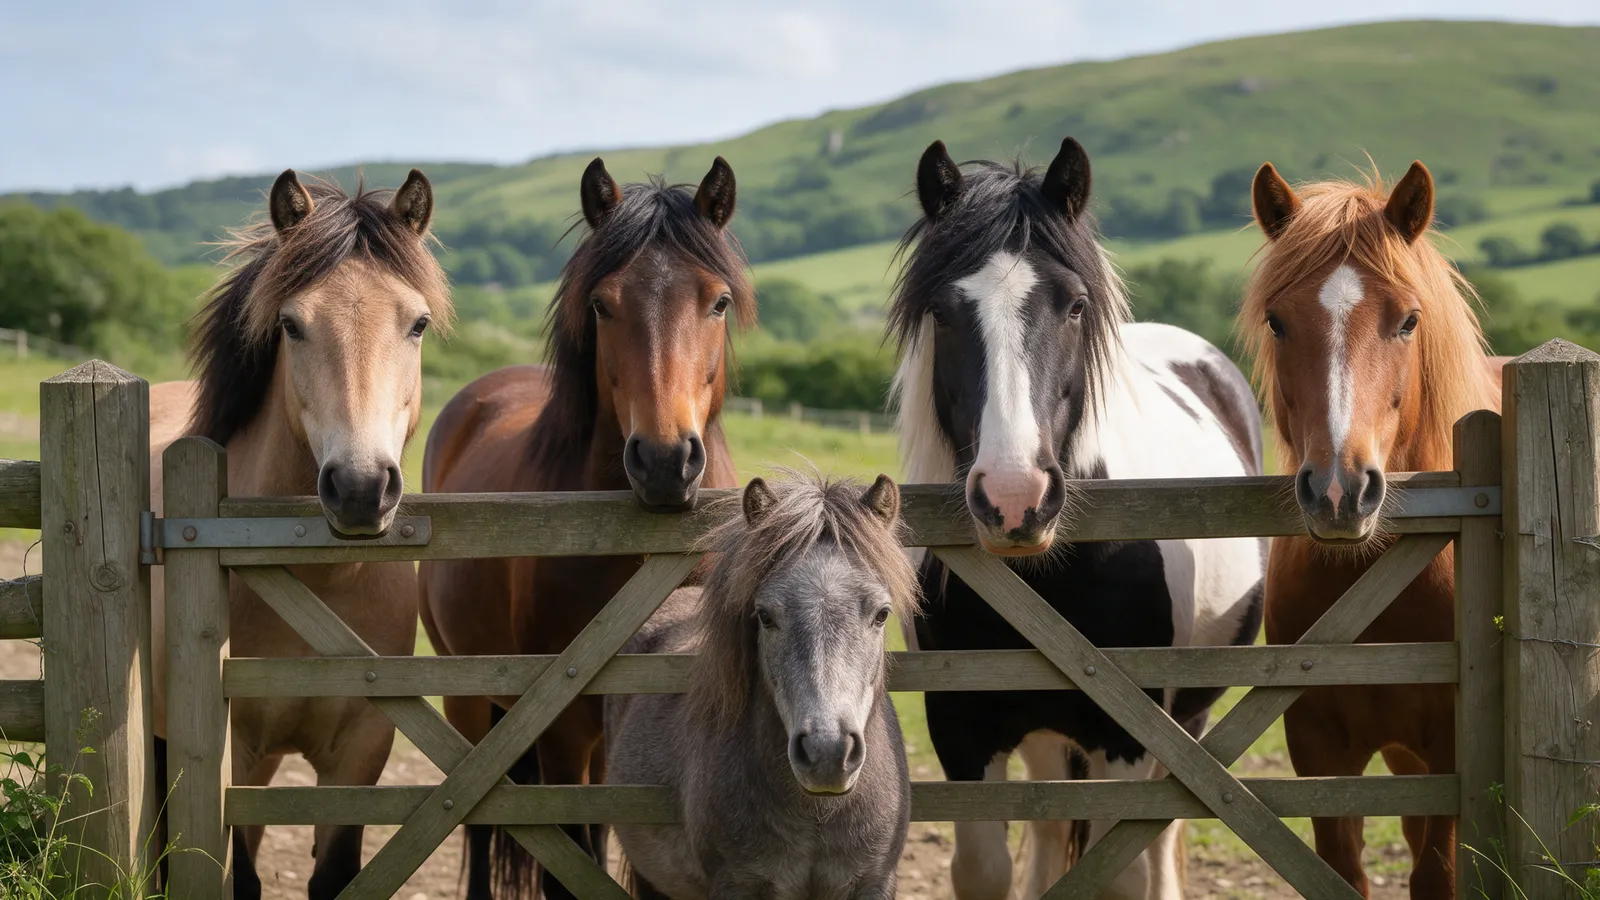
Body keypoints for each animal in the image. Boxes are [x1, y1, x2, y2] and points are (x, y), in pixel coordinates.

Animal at [148, 169, 450, 898]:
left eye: (418, 324)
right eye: (291, 324)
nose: (362, 487)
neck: (316, 585)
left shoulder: (362, 750)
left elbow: (334, 875)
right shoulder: (232, 754)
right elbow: (241, 880)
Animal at [418, 157, 753, 900]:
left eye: (718, 302)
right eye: (602, 305)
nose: (665, 460)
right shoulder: (563, 724)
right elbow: (567, 861)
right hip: (471, 697)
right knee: (479, 820)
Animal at [606, 473, 916, 900]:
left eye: (882, 614)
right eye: (765, 616)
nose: (827, 754)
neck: (816, 815)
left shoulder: (873, 882)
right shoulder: (737, 883)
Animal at [889, 138, 1267, 900]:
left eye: (1075, 306)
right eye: (942, 312)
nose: (1014, 497)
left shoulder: (1127, 732)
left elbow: (1122, 869)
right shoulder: (961, 727)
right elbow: (985, 868)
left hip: (1187, 717)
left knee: (1162, 833)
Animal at [1246, 161, 1502, 898]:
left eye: (1409, 320)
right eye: (1277, 321)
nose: (1340, 491)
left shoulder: (1452, 748)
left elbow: (1437, 874)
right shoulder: (1319, 749)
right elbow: (1343, 871)